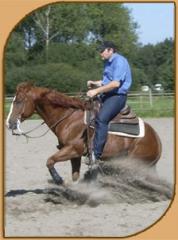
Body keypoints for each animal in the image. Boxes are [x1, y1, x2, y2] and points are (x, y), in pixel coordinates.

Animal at [5, 81, 161, 185]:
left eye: (18, 101)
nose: (9, 123)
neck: (68, 118)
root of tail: (157, 139)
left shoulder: (74, 149)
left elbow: (50, 161)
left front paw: (58, 180)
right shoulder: (74, 155)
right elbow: (74, 175)